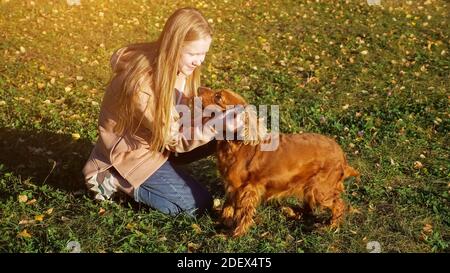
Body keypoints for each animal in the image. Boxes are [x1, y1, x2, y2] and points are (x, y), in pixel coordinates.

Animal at [199, 87, 360, 236]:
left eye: (218, 97)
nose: (199, 88)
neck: (236, 145)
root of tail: (342, 155)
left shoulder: (247, 189)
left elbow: (242, 213)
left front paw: (236, 234)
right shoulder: (232, 186)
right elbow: (228, 205)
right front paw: (224, 222)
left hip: (319, 189)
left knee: (338, 204)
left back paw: (331, 226)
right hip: (309, 187)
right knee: (309, 208)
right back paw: (292, 212)